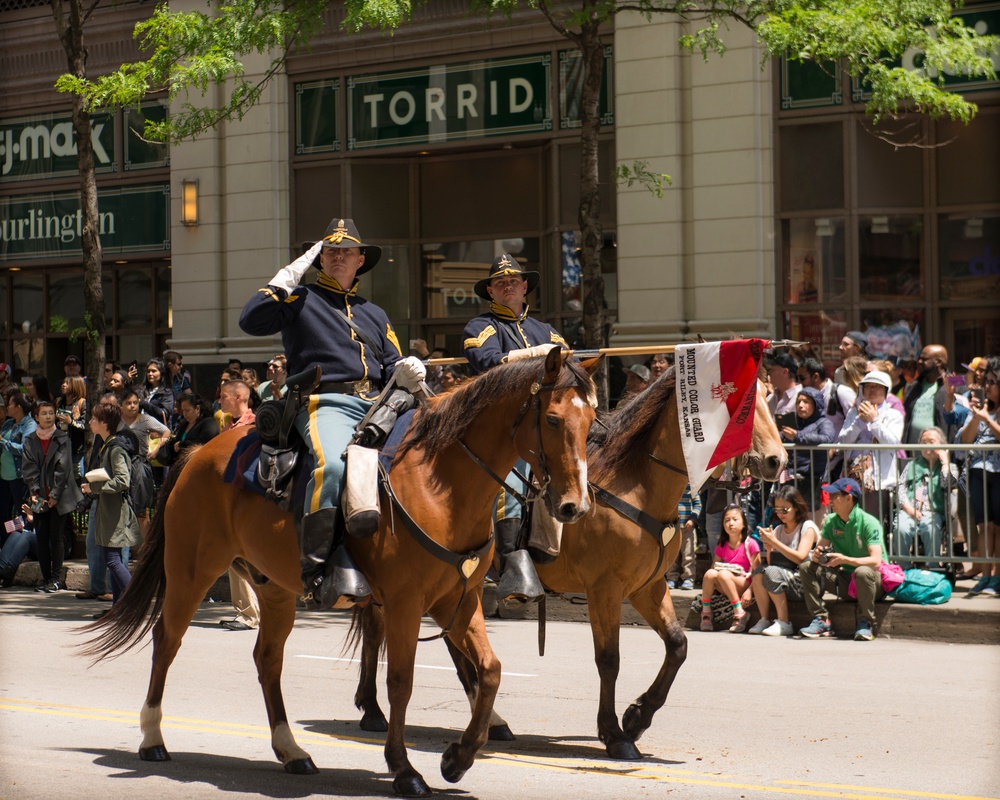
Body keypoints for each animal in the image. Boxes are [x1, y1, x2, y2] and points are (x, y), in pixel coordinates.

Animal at [84, 348, 592, 792]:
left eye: (590, 424)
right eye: (551, 419)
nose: (575, 506)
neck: (441, 485)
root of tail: (197, 452)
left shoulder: (461, 600)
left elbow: (489, 671)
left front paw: (457, 758)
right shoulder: (406, 604)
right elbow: (401, 682)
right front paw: (405, 769)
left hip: (274, 587)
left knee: (267, 659)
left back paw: (291, 750)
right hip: (192, 571)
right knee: (167, 641)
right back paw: (152, 737)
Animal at [356, 372, 784, 760]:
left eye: (767, 397)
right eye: (742, 407)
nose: (776, 460)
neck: (637, 483)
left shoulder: (647, 586)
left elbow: (678, 645)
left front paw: (637, 716)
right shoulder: (605, 589)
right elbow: (609, 660)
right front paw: (615, 734)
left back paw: (485, 721)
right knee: (382, 632)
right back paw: (376, 710)